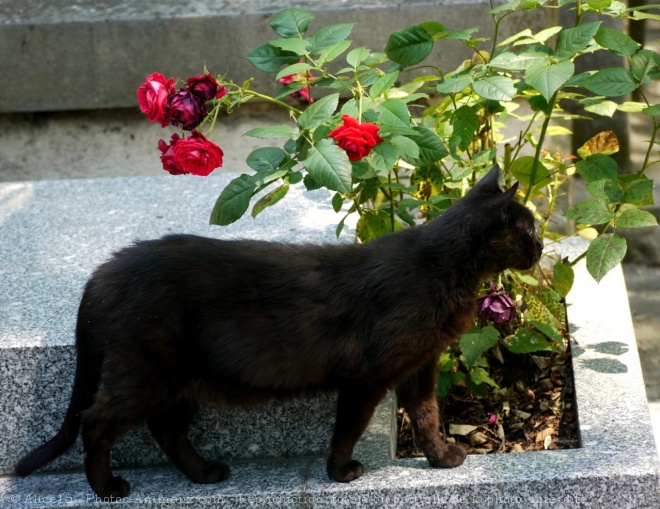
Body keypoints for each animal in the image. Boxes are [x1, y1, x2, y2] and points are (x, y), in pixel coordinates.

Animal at [15, 166, 540, 496]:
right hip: (145, 373)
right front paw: (340, 472)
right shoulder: (368, 376)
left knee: (164, 428)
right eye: (530, 230)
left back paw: (204, 473)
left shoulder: (420, 366)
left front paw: (441, 458)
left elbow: (428, 415)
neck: (443, 268)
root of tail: (105, 270)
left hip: (182, 382)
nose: (541, 249)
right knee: (96, 422)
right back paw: (106, 488)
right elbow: (350, 425)